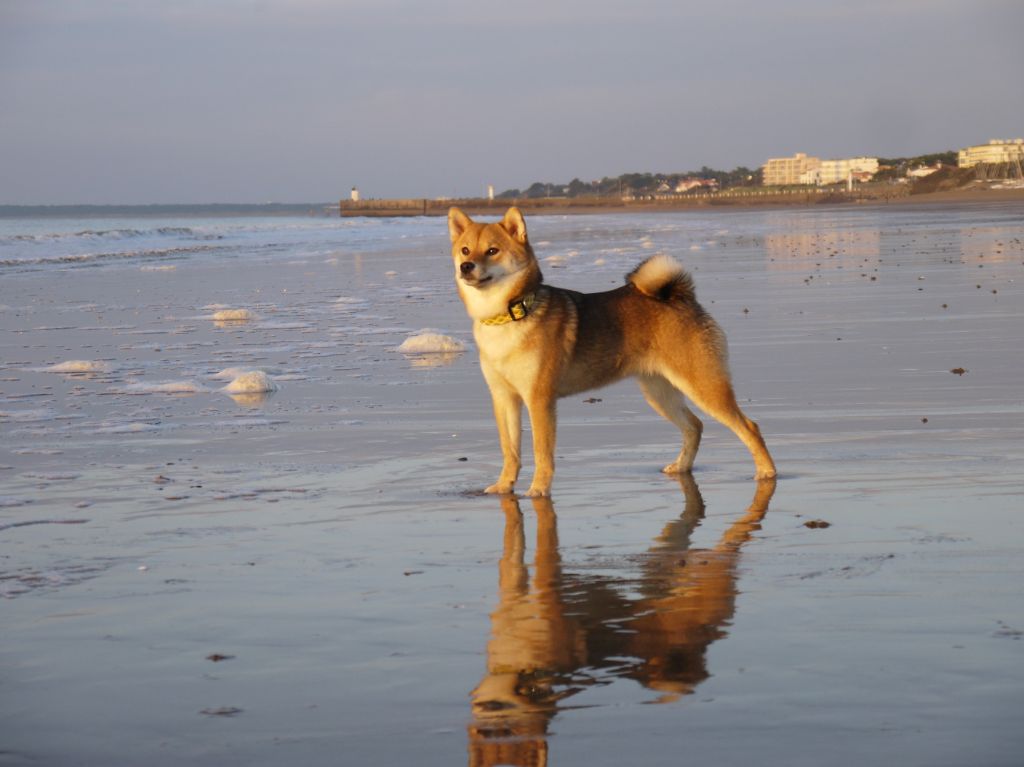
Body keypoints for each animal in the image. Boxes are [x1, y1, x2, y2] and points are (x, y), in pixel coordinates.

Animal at [448, 206, 774, 497]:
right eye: (465, 250)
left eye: (492, 251)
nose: (466, 267)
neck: (508, 316)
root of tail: (681, 297)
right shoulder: (504, 398)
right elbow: (510, 450)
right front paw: (504, 485)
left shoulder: (539, 399)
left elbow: (542, 452)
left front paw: (538, 489)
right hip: (659, 392)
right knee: (694, 426)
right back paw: (681, 466)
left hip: (703, 385)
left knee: (749, 426)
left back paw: (767, 471)